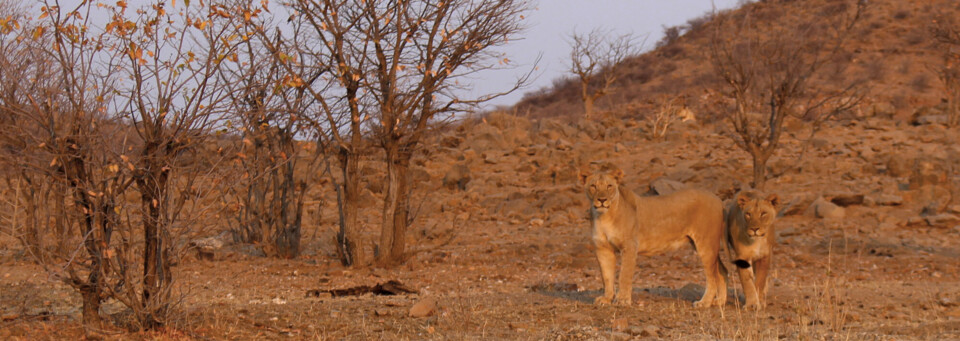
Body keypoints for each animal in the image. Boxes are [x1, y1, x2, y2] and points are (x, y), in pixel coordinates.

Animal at [576, 169, 728, 306]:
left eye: (609, 186)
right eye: (593, 186)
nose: (602, 200)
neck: (604, 217)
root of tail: (718, 199)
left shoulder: (630, 246)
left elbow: (624, 275)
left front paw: (623, 300)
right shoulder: (602, 248)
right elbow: (606, 276)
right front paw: (606, 299)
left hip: (706, 244)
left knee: (712, 275)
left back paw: (705, 302)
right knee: (722, 270)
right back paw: (719, 301)